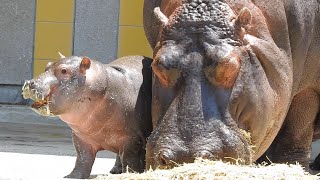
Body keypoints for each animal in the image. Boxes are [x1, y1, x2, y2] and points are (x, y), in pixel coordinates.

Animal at [21, 54, 153, 179]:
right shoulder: (81, 137)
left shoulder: (133, 140)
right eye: (47, 65)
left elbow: (130, 160)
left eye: (64, 70)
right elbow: (82, 158)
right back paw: (115, 171)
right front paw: (72, 176)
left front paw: (132, 174)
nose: (29, 83)